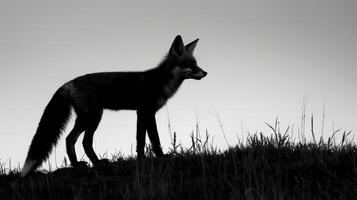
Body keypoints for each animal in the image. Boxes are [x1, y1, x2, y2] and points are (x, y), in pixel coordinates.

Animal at [20, 35, 206, 177]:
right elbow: (154, 139)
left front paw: (141, 159)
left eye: (196, 63)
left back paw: (85, 164)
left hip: (87, 118)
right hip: (93, 117)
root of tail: (68, 83)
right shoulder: (147, 111)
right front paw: (161, 156)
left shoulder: (141, 113)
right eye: (190, 64)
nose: (205, 73)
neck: (161, 82)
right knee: (81, 140)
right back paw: (88, 164)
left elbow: (140, 139)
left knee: (73, 139)